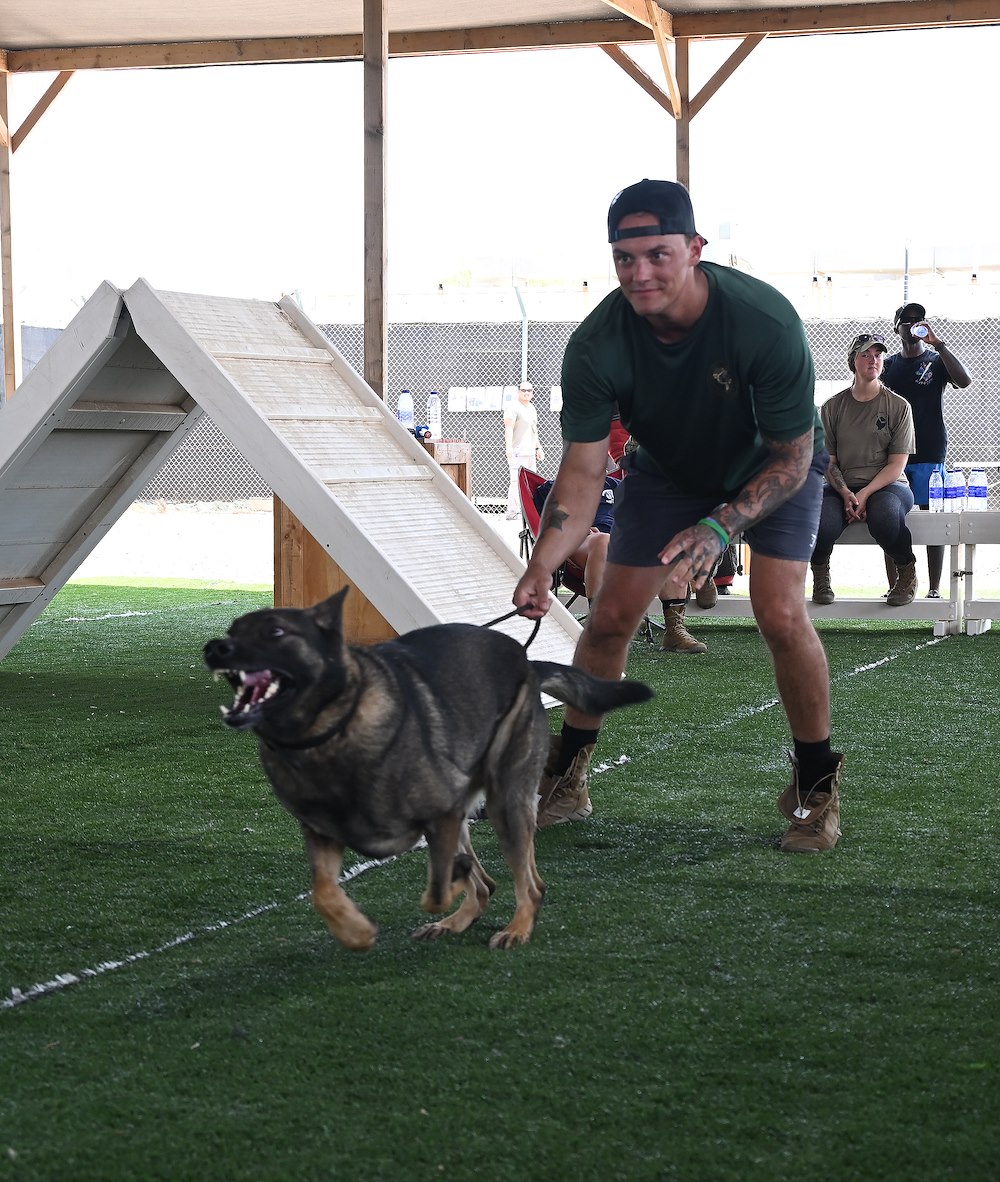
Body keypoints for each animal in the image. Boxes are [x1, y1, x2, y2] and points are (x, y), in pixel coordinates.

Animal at [203, 588, 653, 951]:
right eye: (233, 631)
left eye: (276, 633)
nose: (214, 648)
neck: (331, 736)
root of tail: (527, 663)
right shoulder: (322, 835)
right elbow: (323, 892)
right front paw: (356, 932)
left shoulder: (442, 819)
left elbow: (437, 889)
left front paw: (449, 886)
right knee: (487, 886)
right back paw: (455, 922)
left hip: (505, 803)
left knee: (531, 885)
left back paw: (517, 928)